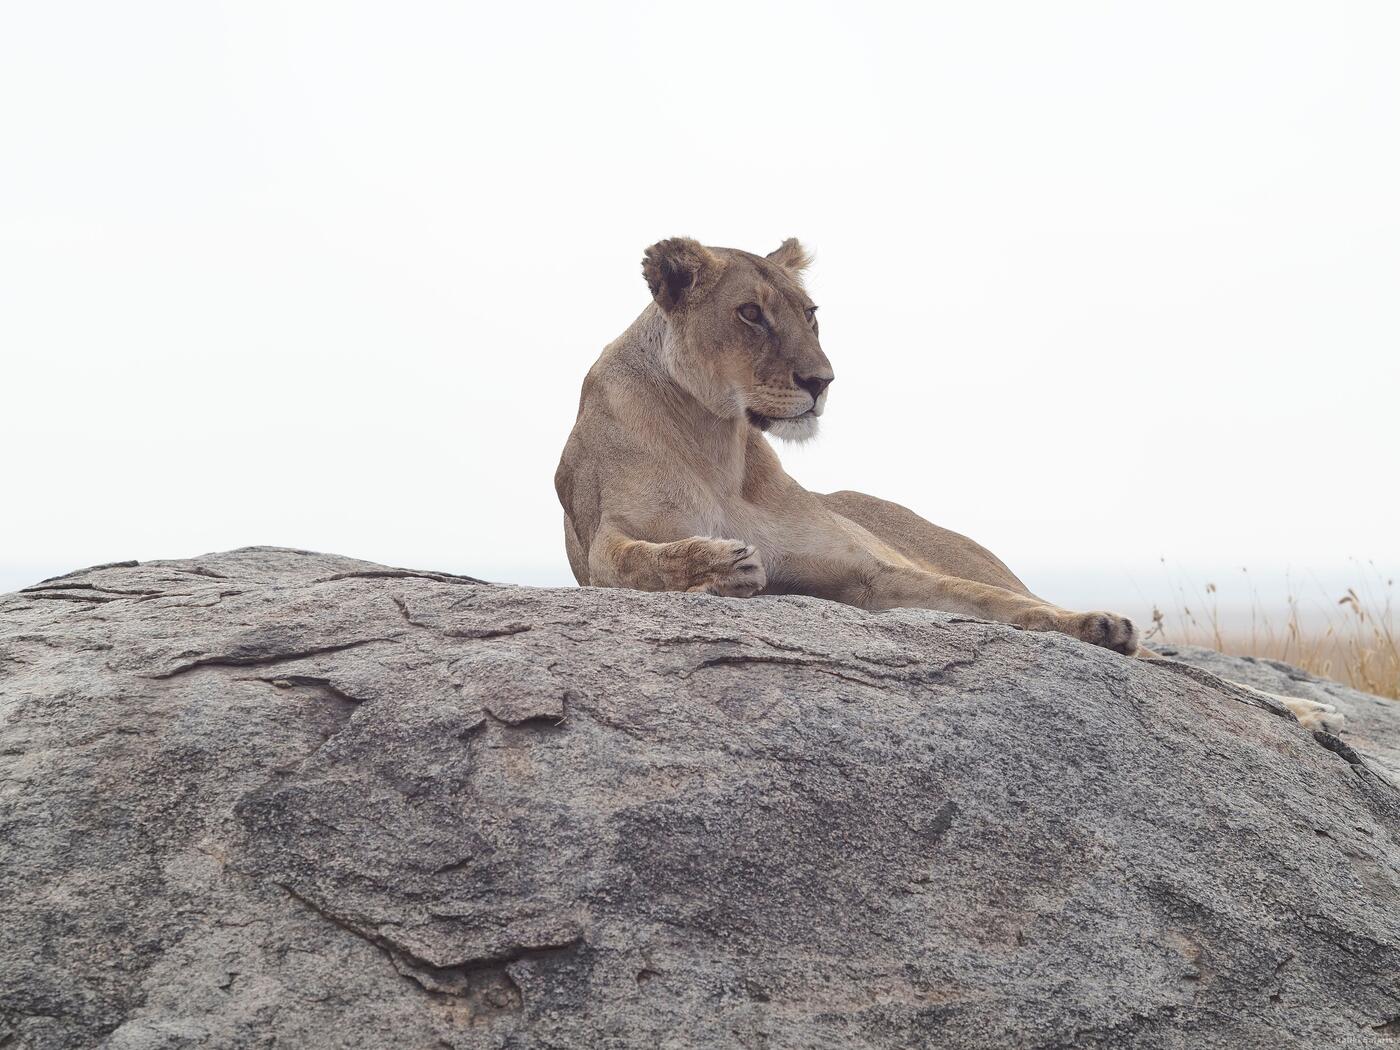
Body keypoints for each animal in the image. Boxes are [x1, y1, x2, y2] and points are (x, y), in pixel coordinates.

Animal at [554, 237, 1341, 730]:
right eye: (749, 313)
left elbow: (993, 603)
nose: (822, 382)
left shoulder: (871, 574)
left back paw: (1308, 711)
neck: (716, 440)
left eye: (810, 314)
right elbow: (639, 560)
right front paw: (718, 563)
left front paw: (1095, 627)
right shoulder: (598, 545)